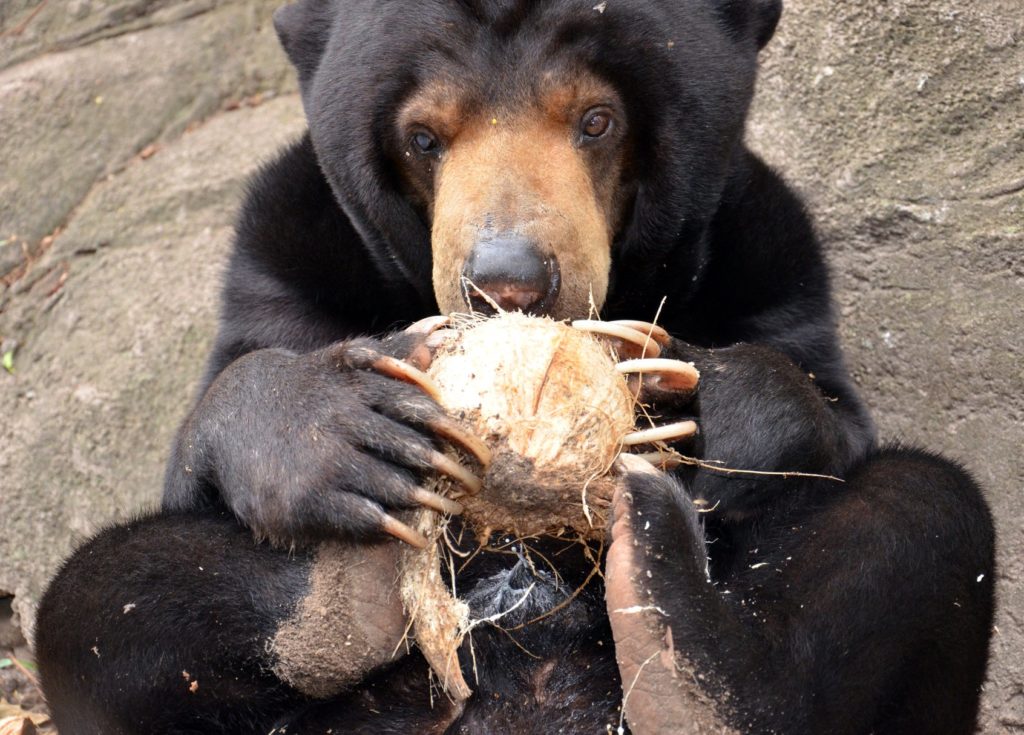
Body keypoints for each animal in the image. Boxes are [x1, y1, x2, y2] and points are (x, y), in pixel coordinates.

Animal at [34, 1, 995, 733]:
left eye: (597, 121)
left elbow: (829, 406)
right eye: (424, 137)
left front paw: (682, 394)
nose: (507, 280)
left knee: (919, 515)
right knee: (104, 600)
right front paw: (348, 430)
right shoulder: (282, 252)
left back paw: (682, 643)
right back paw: (349, 593)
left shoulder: (770, 247)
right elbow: (210, 432)